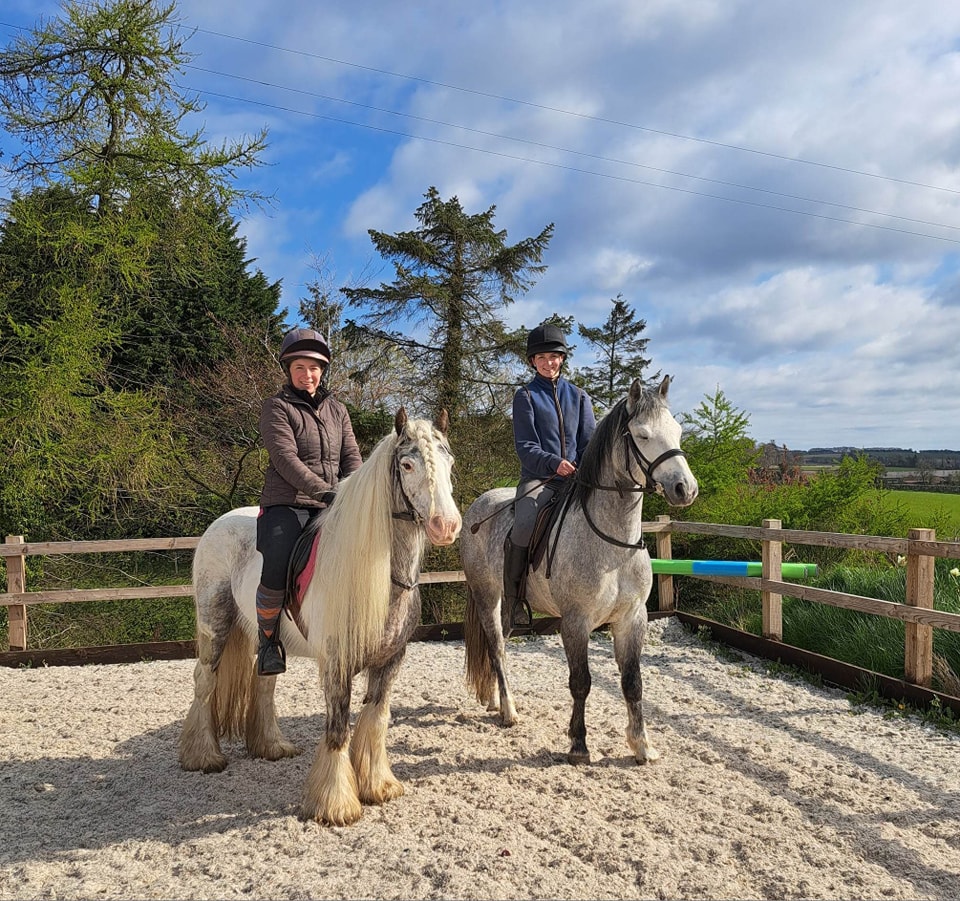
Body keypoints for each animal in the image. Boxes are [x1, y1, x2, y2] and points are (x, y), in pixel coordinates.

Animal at [178, 408, 462, 826]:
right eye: (408, 464)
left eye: (449, 463)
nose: (447, 525)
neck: (381, 577)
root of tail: (219, 522)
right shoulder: (336, 664)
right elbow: (337, 728)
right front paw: (336, 804)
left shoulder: (391, 660)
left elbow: (376, 718)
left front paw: (378, 786)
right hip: (215, 623)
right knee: (205, 680)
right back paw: (203, 756)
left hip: (267, 639)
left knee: (263, 684)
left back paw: (272, 746)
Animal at [460, 376, 698, 765]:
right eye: (643, 435)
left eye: (676, 431)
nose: (685, 489)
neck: (613, 545)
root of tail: (477, 507)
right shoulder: (575, 621)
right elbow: (581, 682)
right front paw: (578, 745)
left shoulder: (632, 618)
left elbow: (632, 683)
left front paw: (642, 745)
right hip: (486, 595)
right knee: (495, 647)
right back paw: (509, 711)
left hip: (508, 602)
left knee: (502, 648)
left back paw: (496, 701)